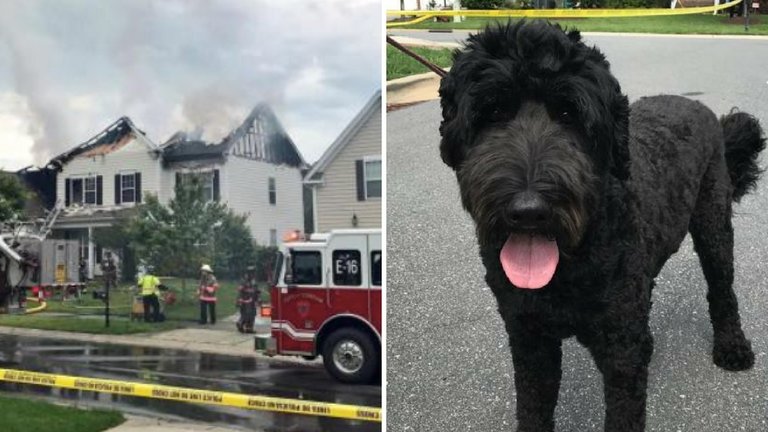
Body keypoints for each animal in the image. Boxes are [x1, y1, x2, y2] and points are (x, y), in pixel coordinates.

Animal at [438, 21, 768, 432]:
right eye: (494, 111)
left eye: (570, 114)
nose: (528, 211)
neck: (568, 262)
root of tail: (698, 106)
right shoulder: (529, 339)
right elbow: (532, 407)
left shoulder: (620, 351)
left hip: (713, 226)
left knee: (722, 289)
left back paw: (732, 345)